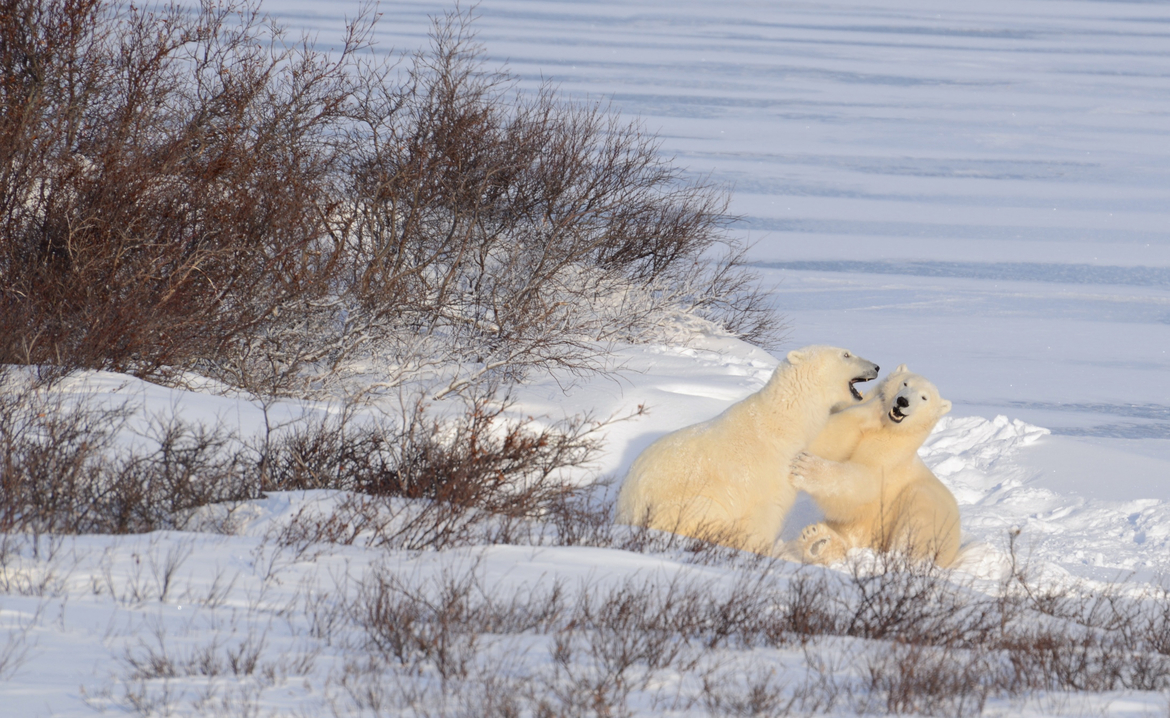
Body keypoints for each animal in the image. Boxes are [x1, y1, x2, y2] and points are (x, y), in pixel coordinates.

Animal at [615, 345, 880, 555]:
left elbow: (828, 439)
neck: (783, 416)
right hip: (685, 503)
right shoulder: (770, 461)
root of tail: (627, 505)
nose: (877, 366)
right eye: (846, 354)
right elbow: (764, 515)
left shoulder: (801, 437)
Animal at [790, 366, 961, 566]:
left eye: (924, 397)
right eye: (905, 383)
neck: (889, 428)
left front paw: (805, 468)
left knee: (918, 518)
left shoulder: (890, 455)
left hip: (930, 510)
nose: (902, 401)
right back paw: (816, 540)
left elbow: (865, 481)